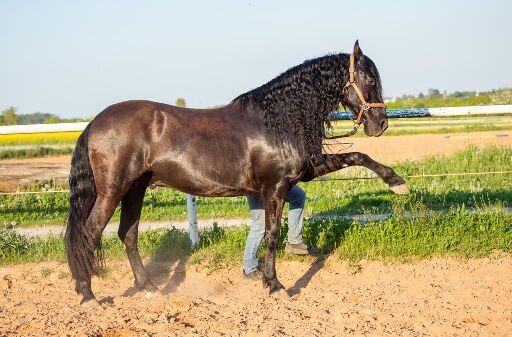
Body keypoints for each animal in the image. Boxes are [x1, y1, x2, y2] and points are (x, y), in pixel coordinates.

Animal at [65, 40, 404, 306]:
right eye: (369, 78)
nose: (381, 123)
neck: (277, 119)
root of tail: (95, 122)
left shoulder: (305, 171)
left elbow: (358, 156)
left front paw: (397, 182)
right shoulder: (275, 187)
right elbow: (271, 235)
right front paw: (275, 285)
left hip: (135, 190)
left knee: (128, 235)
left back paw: (148, 288)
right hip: (112, 191)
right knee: (89, 233)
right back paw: (88, 295)